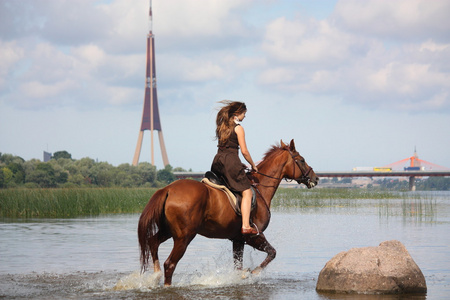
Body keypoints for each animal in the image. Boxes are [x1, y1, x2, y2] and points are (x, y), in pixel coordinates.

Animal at [139, 139, 318, 284]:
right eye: (301, 160)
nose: (315, 179)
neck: (260, 188)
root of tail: (168, 189)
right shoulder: (253, 236)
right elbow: (272, 253)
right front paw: (252, 273)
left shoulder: (238, 239)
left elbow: (237, 266)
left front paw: (242, 275)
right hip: (184, 237)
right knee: (170, 264)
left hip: (169, 230)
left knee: (152, 242)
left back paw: (155, 275)